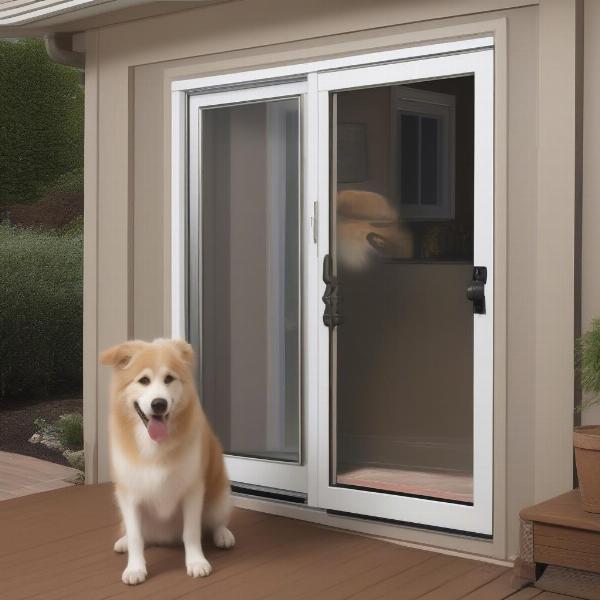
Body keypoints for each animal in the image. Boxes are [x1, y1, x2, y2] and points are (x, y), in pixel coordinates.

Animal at [99, 338, 233, 584]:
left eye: (169, 378)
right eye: (144, 380)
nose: (159, 404)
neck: (154, 446)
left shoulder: (192, 490)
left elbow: (191, 532)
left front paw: (196, 562)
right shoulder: (129, 495)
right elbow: (136, 536)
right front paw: (135, 568)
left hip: (220, 497)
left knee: (217, 521)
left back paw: (223, 535)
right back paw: (123, 541)